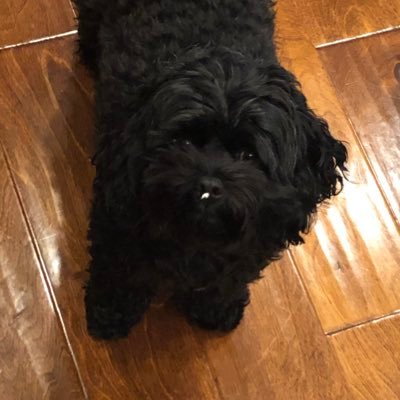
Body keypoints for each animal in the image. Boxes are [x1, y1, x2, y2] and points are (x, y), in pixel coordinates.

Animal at [76, 0, 346, 340]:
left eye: (248, 154)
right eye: (184, 140)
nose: (208, 184)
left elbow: (224, 283)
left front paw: (216, 310)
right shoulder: (118, 225)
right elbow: (119, 275)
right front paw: (110, 315)